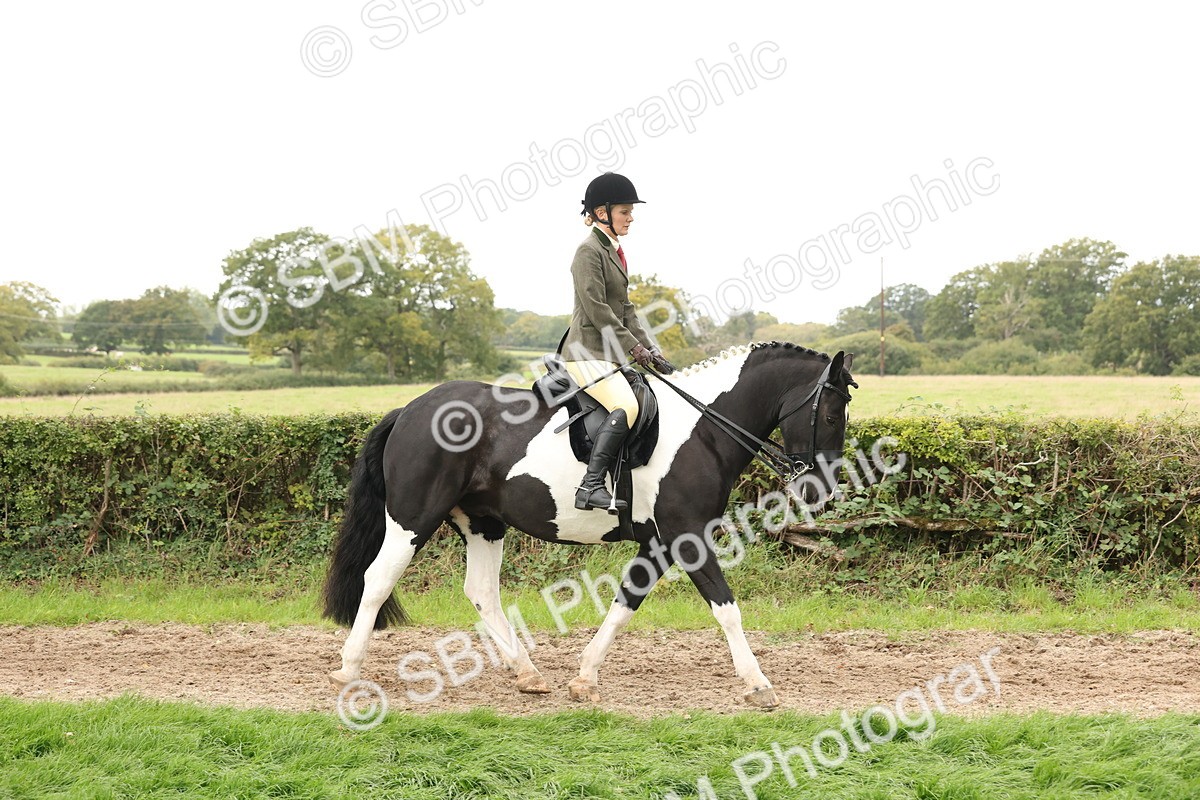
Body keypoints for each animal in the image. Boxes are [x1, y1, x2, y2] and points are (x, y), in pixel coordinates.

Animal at [322, 342, 857, 708]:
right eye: (832, 415)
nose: (823, 492)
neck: (703, 430)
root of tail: (411, 409)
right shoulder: (688, 538)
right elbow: (727, 609)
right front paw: (758, 684)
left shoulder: (659, 544)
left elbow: (625, 603)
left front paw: (584, 677)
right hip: (413, 517)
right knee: (378, 579)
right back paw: (348, 669)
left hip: (483, 522)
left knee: (481, 592)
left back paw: (527, 673)